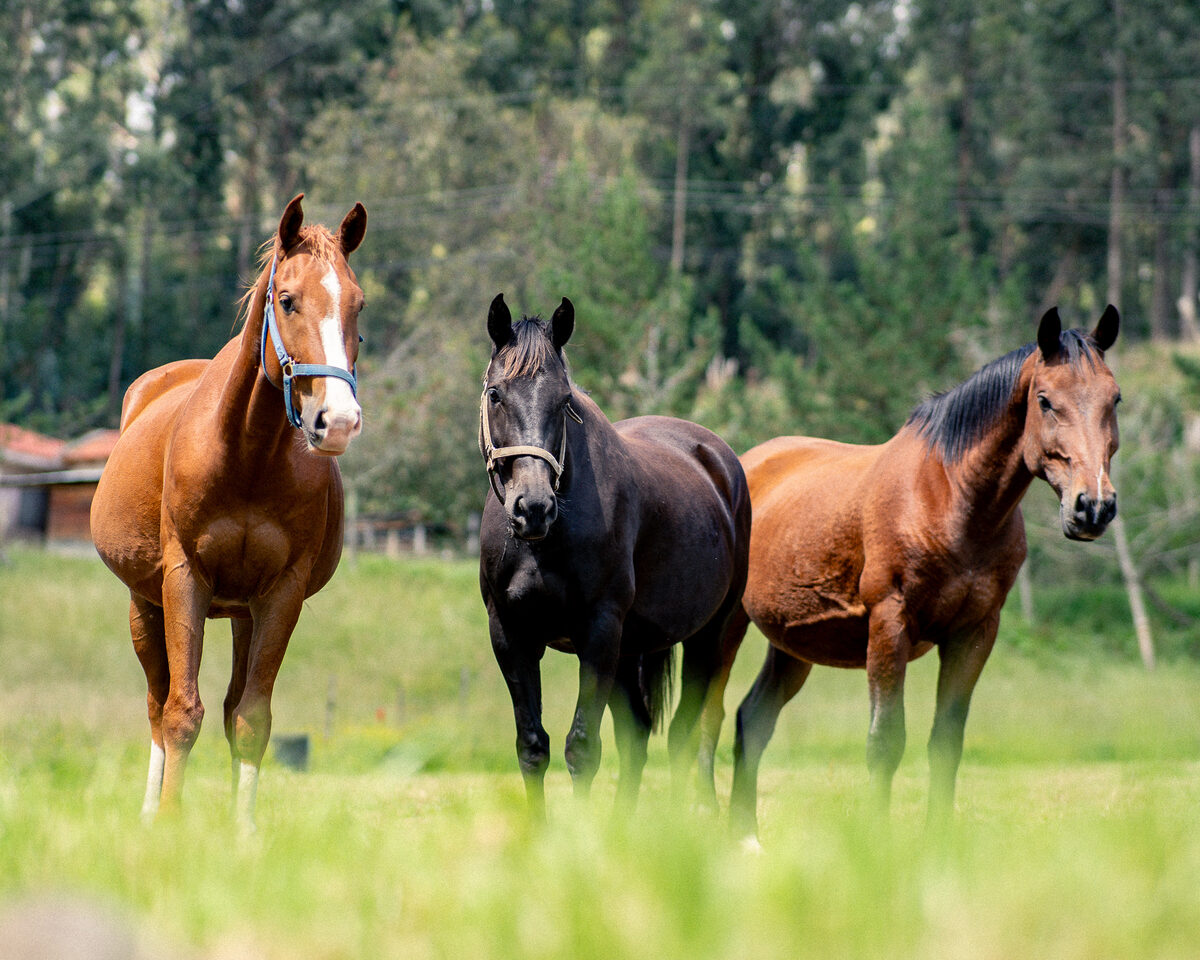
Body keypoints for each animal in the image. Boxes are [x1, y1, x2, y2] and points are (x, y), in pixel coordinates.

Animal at [90, 194, 367, 830]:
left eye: (358, 303)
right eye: (287, 299)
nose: (337, 420)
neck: (246, 455)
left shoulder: (281, 594)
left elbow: (251, 719)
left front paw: (243, 834)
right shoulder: (183, 578)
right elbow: (179, 712)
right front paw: (170, 824)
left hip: (242, 612)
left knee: (229, 705)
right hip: (144, 604)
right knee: (156, 703)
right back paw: (149, 813)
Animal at [478, 294, 751, 818]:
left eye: (564, 400)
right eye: (497, 394)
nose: (533, 507)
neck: (545, 543)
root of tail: (718, 458)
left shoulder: (599, 632)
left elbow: (583, 748)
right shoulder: (511, 634)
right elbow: (533, 746)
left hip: (710, 635)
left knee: (683, 734)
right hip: (631, 648)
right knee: (639, 737)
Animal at [710, 306, 1121, 841]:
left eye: (1115, 398)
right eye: (1045, 400)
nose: (1092, 507)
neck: (949, 500)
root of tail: (739, 464)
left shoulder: (974, 634)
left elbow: (945, 743)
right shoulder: (890, 624)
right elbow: (886, 741)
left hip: (792, 646)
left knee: (750, 722)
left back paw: (746, 838)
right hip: (725, 628)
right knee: (702, 719)